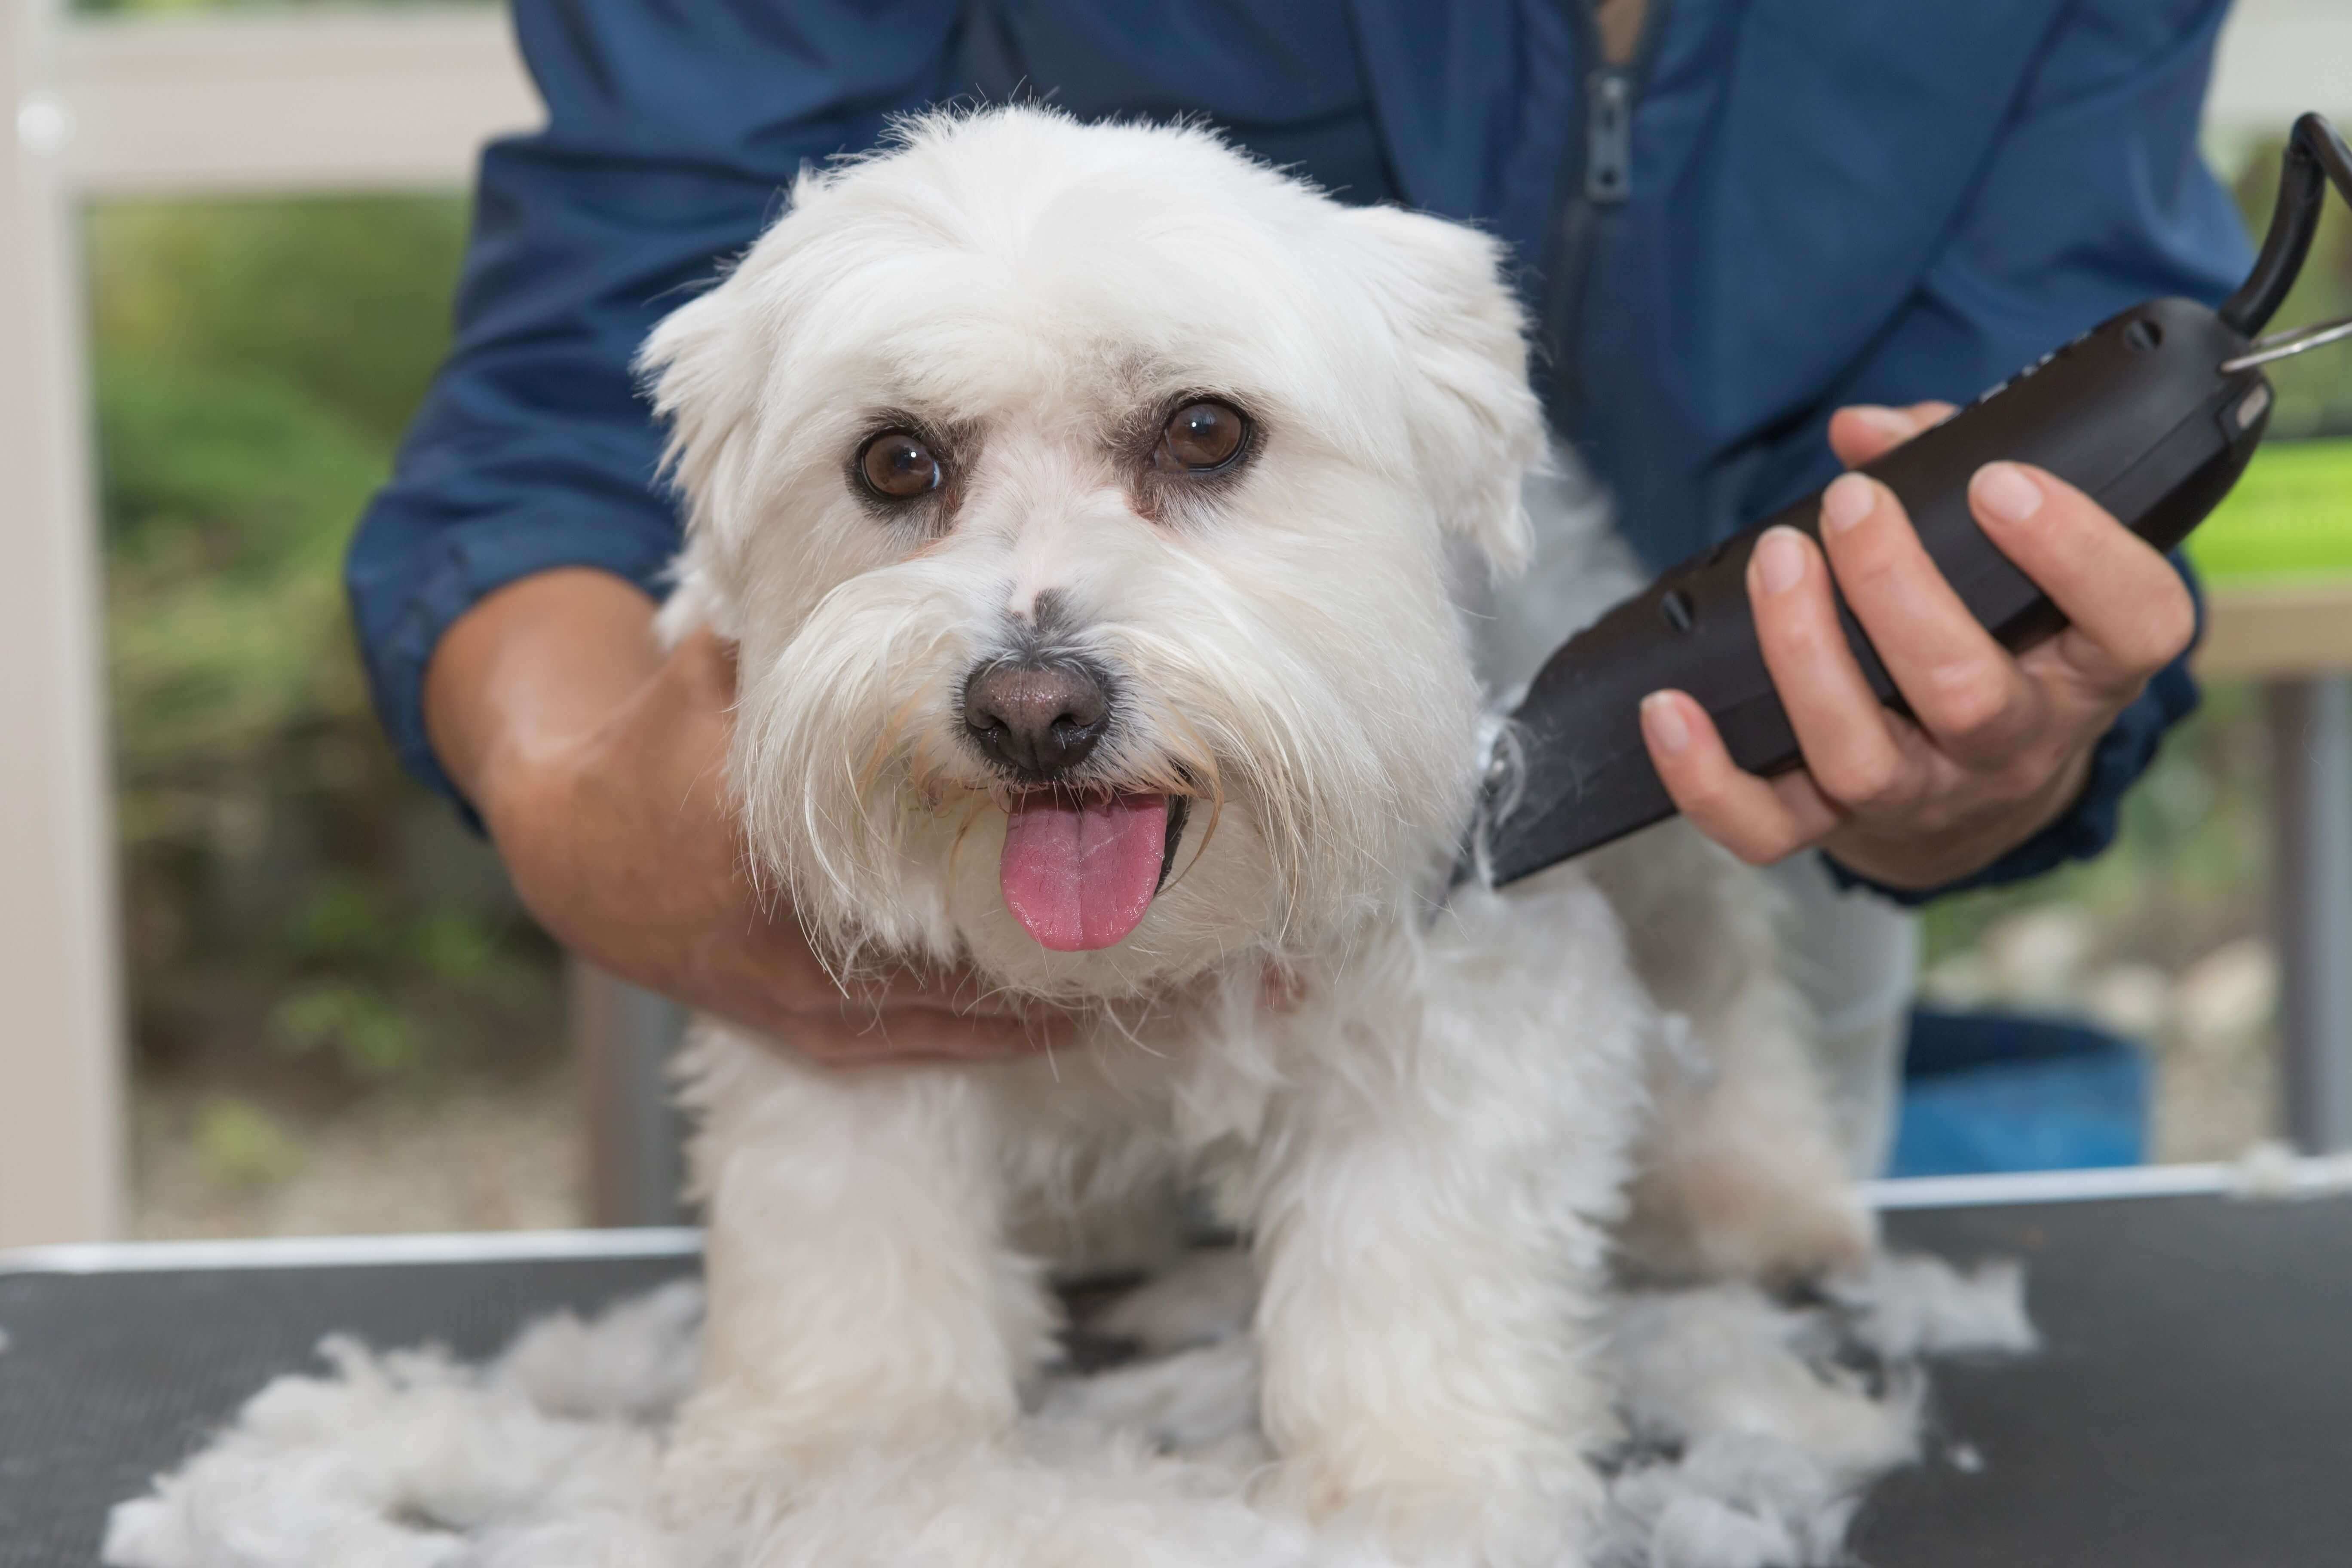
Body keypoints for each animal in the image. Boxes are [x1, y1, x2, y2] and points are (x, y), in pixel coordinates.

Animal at [635, 110, 1862, 1568]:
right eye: (894, 461)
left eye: (1206, 430)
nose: (1033, 709)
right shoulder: (832, 1034)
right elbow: (846, 1247)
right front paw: (844, 1460)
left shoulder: (1467, 1004)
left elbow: (1411, 1261)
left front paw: (1417, 1492)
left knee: (1720, 971)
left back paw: (1762, 1191)